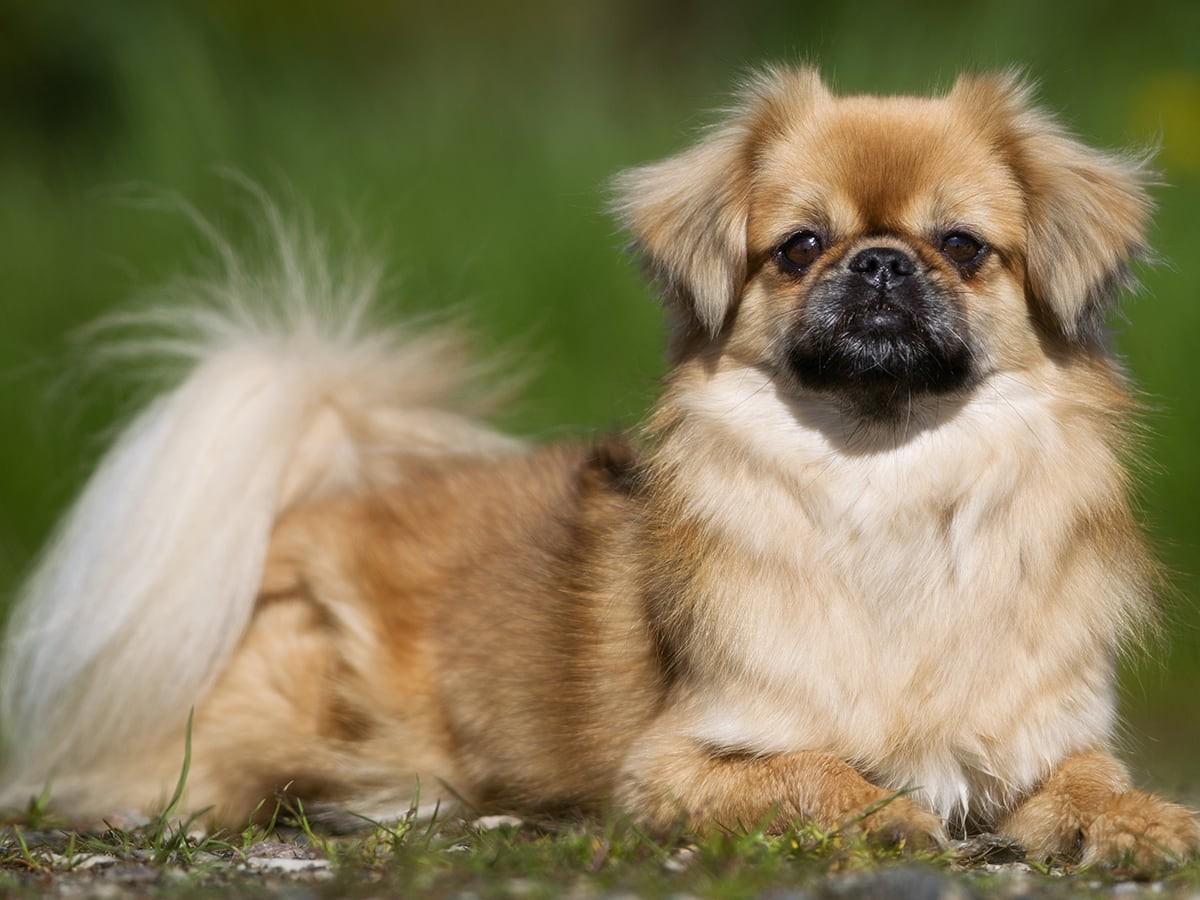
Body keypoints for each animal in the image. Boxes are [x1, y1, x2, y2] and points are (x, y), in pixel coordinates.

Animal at [2, 66, 1200, 868]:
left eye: (960, 247)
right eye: (800, 247)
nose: (879, 266)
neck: (888, 479)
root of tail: (312, 506)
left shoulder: (1046, 737)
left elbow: (1093, 783)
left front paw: (1149, 824)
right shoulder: (679, 762)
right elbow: (814, 772)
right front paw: (891, 813)